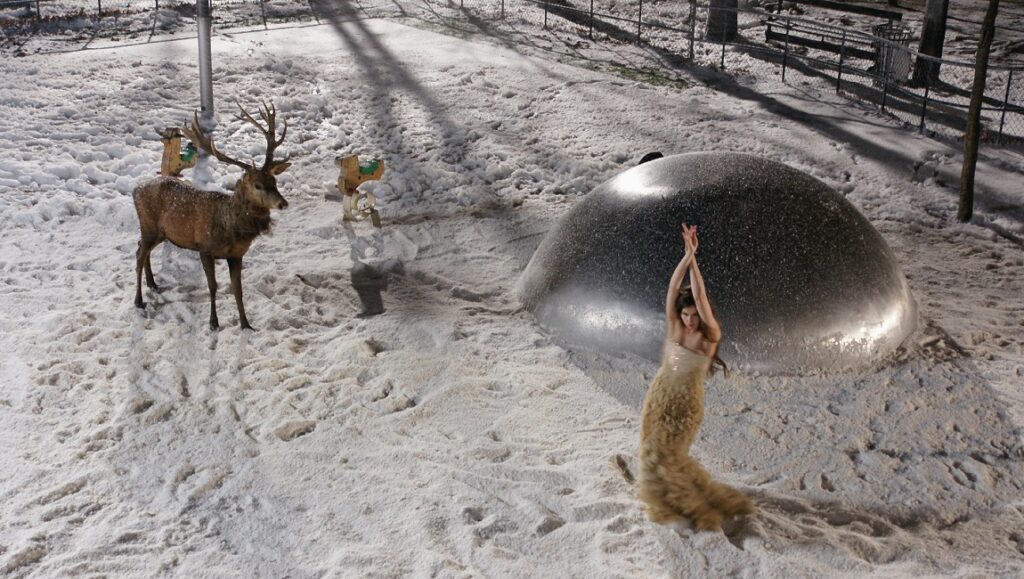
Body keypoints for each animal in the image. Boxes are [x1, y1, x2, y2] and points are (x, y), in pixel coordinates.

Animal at [132, 102, 291, 331]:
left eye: (274, 181)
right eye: (257, 185)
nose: (282, 203)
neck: (230, 228)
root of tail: (135, 189)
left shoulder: (237, 254)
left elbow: (238, 289)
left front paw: (246, 324)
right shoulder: (205, 248)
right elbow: (213, 286)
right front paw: (213, 323)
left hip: (160, 232)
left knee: (142, 251)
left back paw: (153, 284)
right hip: (148, 225)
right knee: (138, 255)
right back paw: (138, 300)